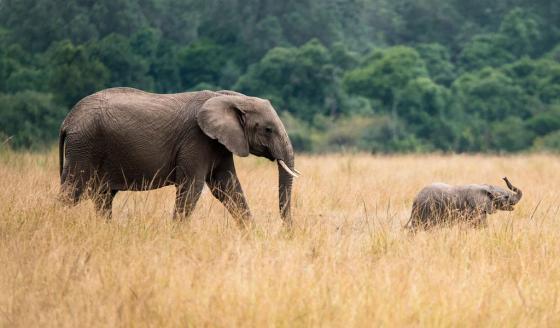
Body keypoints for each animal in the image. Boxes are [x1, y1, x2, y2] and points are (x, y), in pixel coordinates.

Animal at [58, 87, 300, 226]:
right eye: (268, 129)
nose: (287, 231)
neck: (231, 98)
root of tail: (67, 121)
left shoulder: (218, 143)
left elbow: (227, 187)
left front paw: (252, 234)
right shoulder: (196, 139)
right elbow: (192, 187)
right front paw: (176, 234)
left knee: (103, 196)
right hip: (85, 146)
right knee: (72, 191)